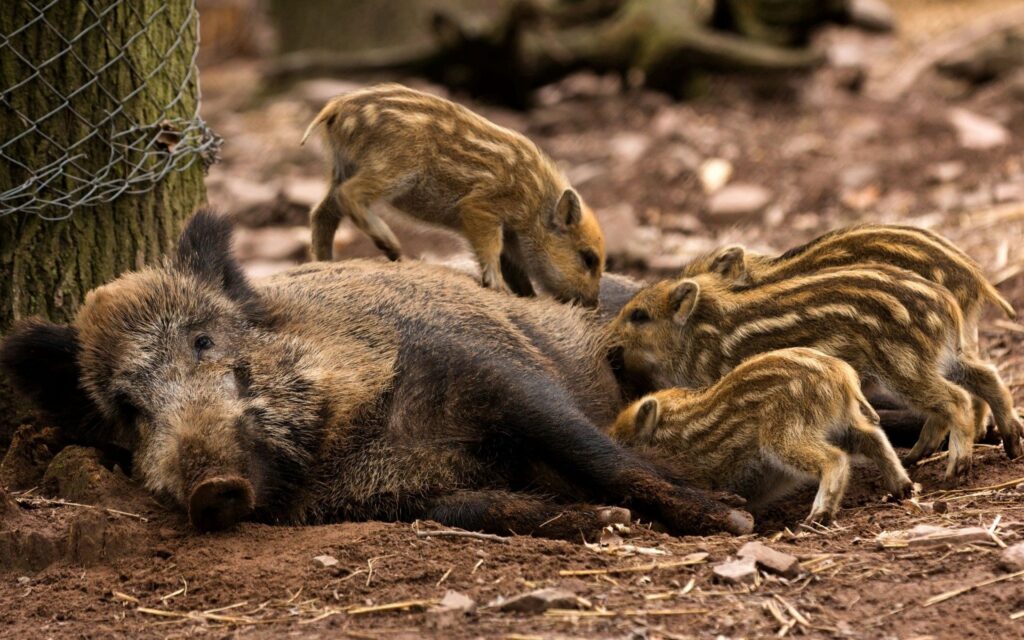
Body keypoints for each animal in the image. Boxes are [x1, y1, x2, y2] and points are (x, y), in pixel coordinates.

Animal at [0, 210, 751, 538]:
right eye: (129, 409)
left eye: (205, 340)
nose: (213, 487)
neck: (350, 442)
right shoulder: (399, 497)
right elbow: (487, 507)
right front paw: (602, 522)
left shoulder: (494, 372)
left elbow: (600, 455)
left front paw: (731, 519)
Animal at [301, 83, 605, 305]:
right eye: (588, 258)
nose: (593, 305)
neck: (536, 202)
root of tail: (337, 107)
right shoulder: (480, 207)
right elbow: (491, 250)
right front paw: (498, 289)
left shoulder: (509, 235)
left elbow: (513, 266)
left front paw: (526, 296)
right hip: (393, 167)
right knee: (349, 194)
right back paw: (394, 250)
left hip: (342, 167)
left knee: (322, 212)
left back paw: (325, 262)